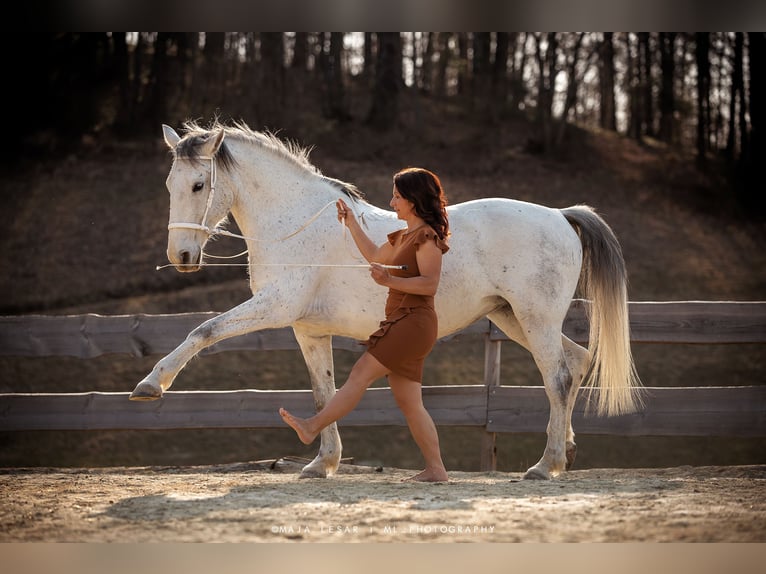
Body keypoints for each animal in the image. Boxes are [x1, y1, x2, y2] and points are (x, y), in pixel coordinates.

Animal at [130, 120, 640, 482]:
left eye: (199, 185)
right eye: (170, 185)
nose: (181, 258)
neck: (293, 221)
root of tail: (560, 215)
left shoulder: (274, 308)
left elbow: (203, 330)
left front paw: (152, 384)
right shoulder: (307, 330)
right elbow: (324, 392)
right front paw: (322, 464)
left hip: (534, 319)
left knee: (557, 377)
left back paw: (544, 465)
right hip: (513, 318)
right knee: (575, 363)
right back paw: (565, 451)